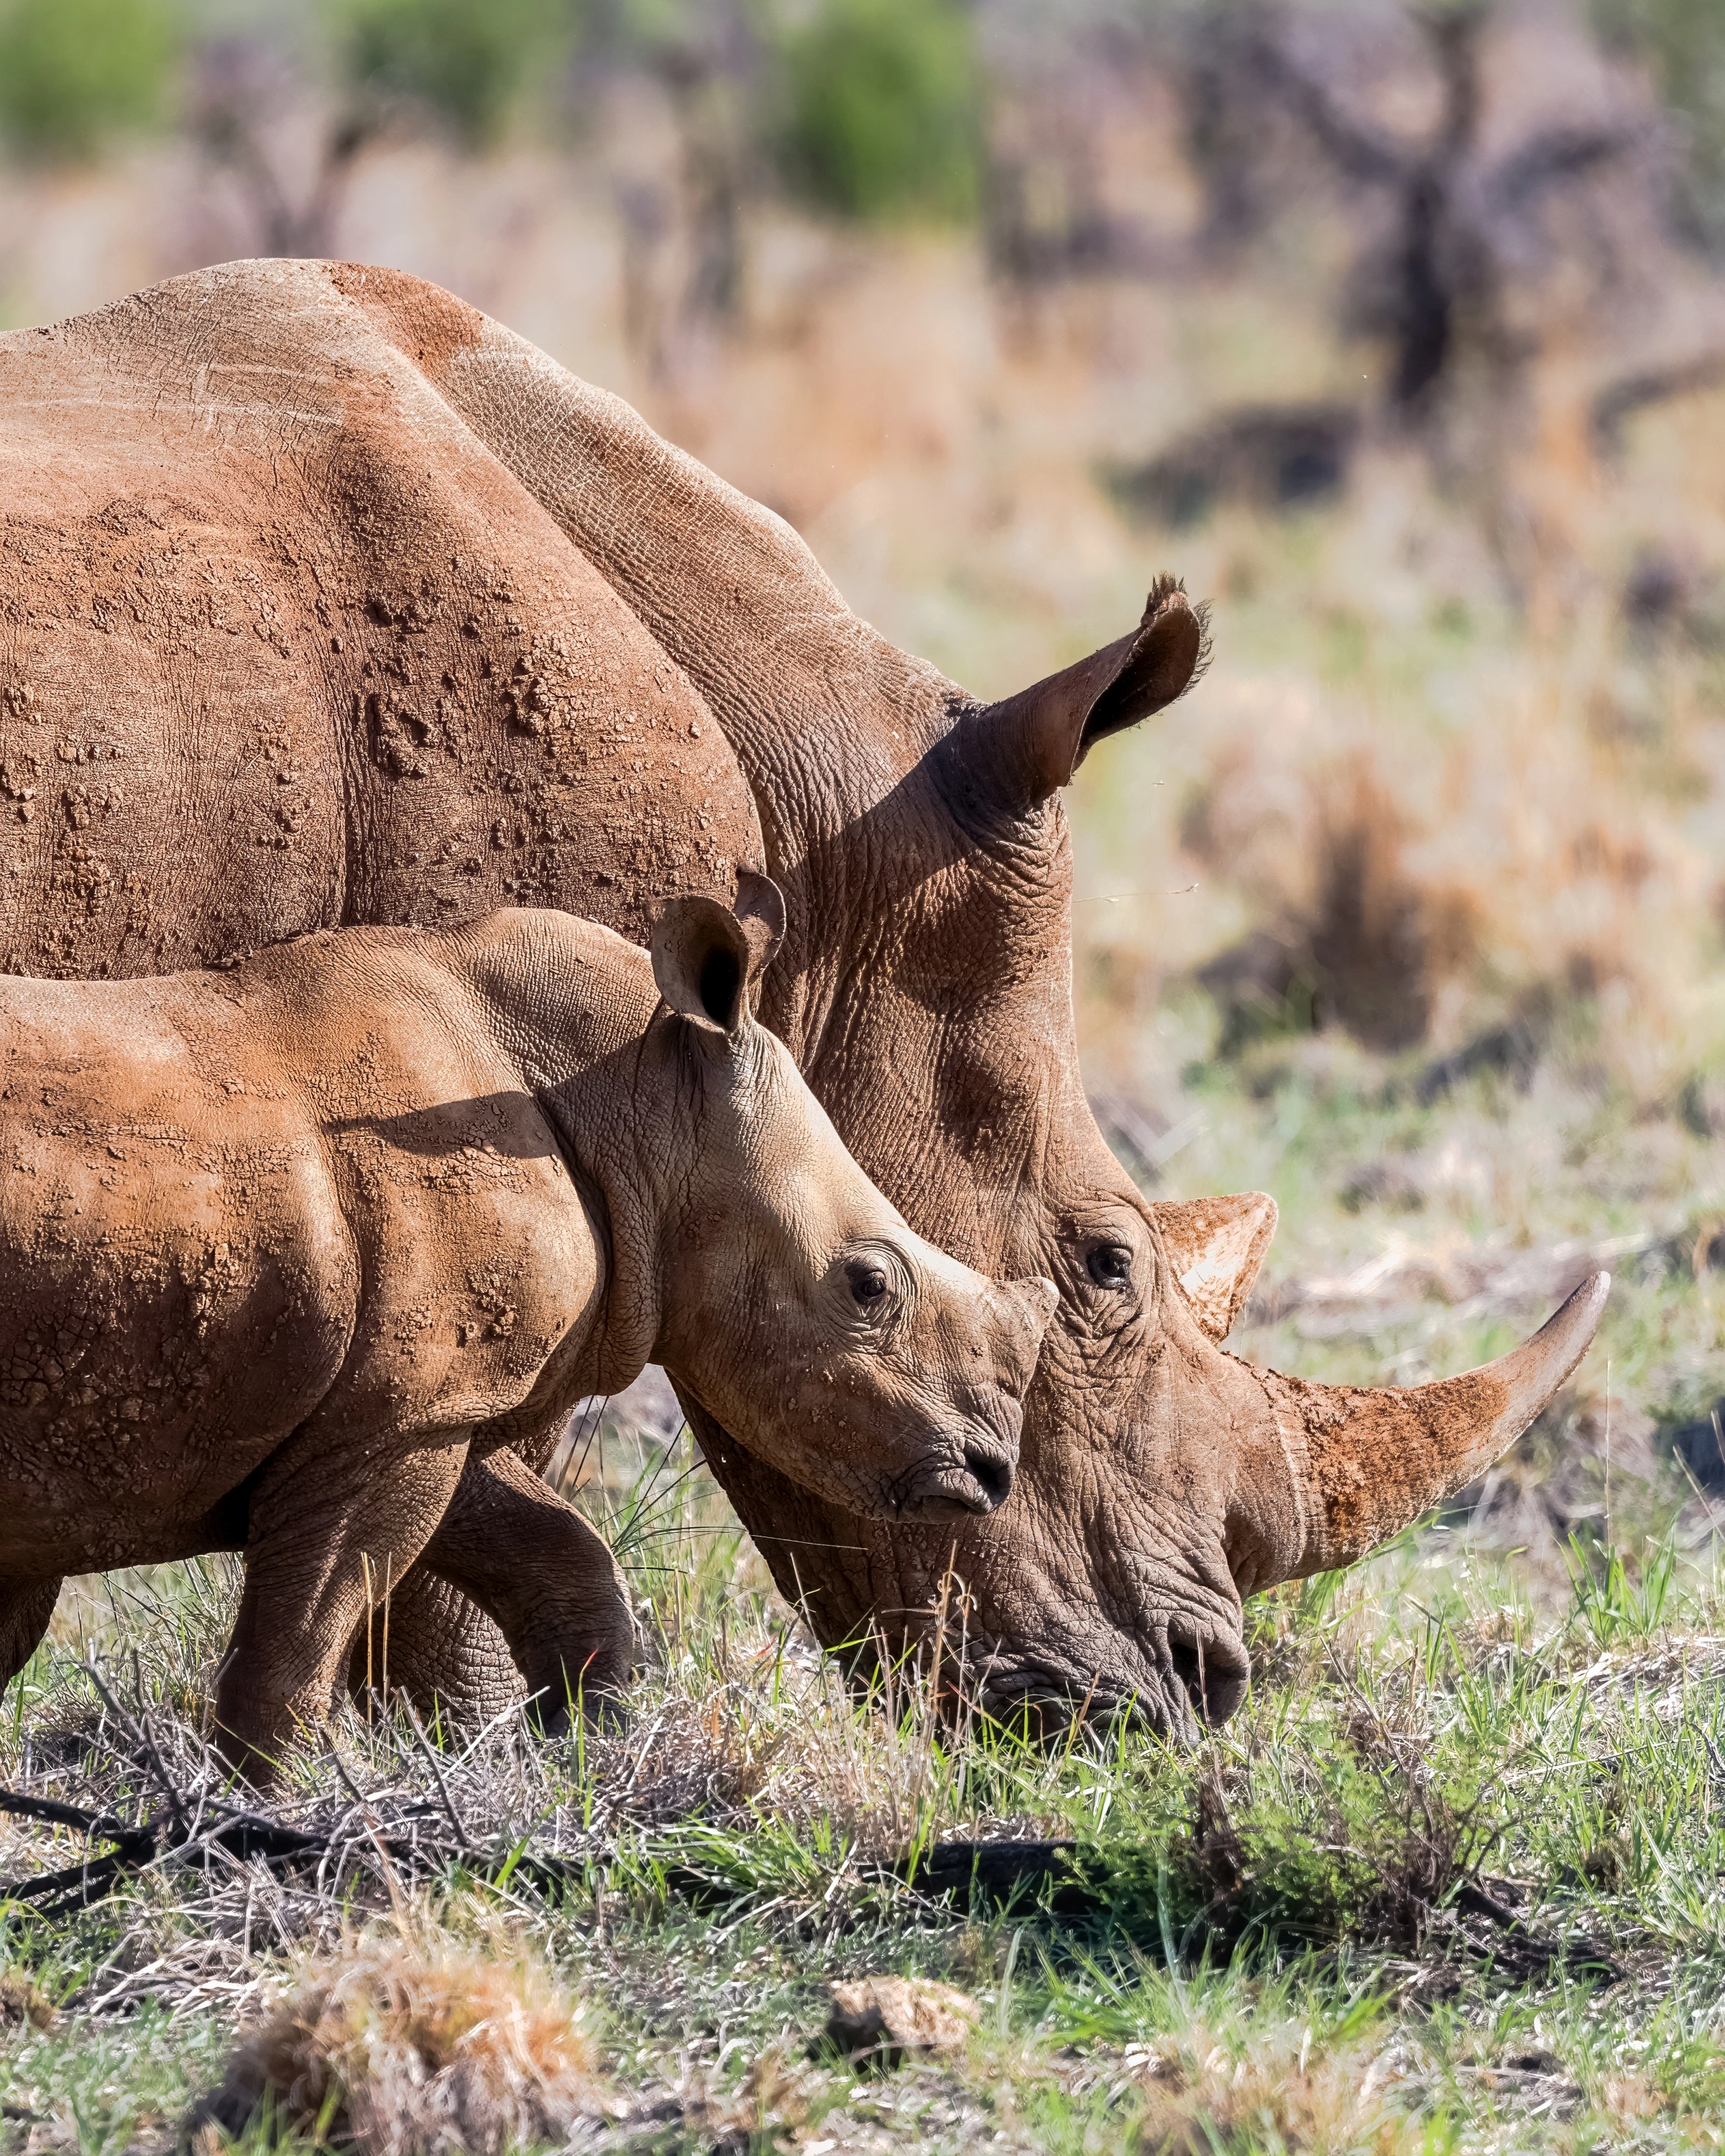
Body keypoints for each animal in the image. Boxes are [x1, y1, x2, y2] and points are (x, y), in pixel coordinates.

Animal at [0, 893, 1055, 1773]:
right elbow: (298, 1647)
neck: (640, 1104)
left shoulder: (419, 1407)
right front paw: (263, 1823)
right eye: (867, 1285)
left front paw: (587, 1752)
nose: (988, 1471)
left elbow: (557, 1552)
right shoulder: (394, 1421)